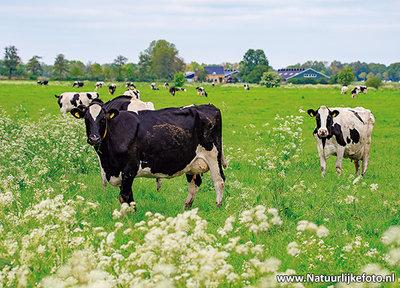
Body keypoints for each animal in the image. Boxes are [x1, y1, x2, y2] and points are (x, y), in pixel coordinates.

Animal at [70, 103, 227, 209]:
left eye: (103, 119)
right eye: (86, 120)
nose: (94, 138)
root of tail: (208, 106)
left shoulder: (129, 168)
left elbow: (124, 196)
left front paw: (125, 217)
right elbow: (128, 195)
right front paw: (132, 212)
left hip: (213, 155)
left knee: (219, 181)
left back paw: (217, 206)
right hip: (191, 162)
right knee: (194, 184)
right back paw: (185, 208)